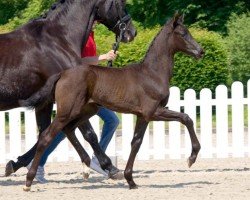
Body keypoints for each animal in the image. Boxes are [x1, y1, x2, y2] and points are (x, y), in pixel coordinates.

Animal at [21, 13, 203, 190]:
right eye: (182, 34)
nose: (201, 51)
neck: (152, 73)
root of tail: (62, 74)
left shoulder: (142, 115)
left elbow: (136, 142)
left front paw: (131, 181)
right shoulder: (152, 112)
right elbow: (186, 118)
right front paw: (192, 157)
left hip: (86, 110)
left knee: (68, 130)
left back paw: (86, 167)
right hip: (68, 111)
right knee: (47, 137)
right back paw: (29, 181)